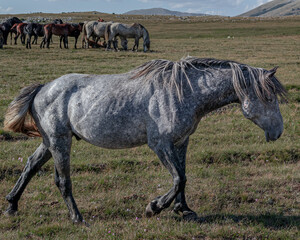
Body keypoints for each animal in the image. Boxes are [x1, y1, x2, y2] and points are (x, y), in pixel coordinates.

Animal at [3, 57, 288, 224]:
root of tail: (42, 88)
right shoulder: (160, 144)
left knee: (30, 166)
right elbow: (178, 178)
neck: (183, 91)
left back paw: (12, 205)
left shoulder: (181, 142)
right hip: (60, 142)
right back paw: (77, 218)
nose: (278, 133)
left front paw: (183, 209)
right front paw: (155, 207)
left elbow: (183, 177)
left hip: (49, 142)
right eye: (268, 97)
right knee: (62, 181)